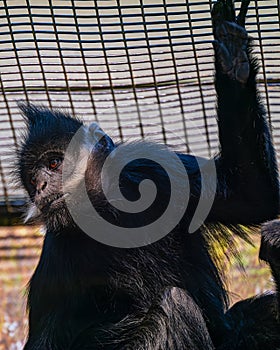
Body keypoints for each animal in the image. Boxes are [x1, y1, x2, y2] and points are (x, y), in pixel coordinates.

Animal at [15, 0, 280, 348]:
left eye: (55, 164)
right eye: (32, 180)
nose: (42, 186)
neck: (110, 217)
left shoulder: (156, 171)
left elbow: (252, 194)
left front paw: (232, 58)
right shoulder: (57, 258)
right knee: (173, 306)